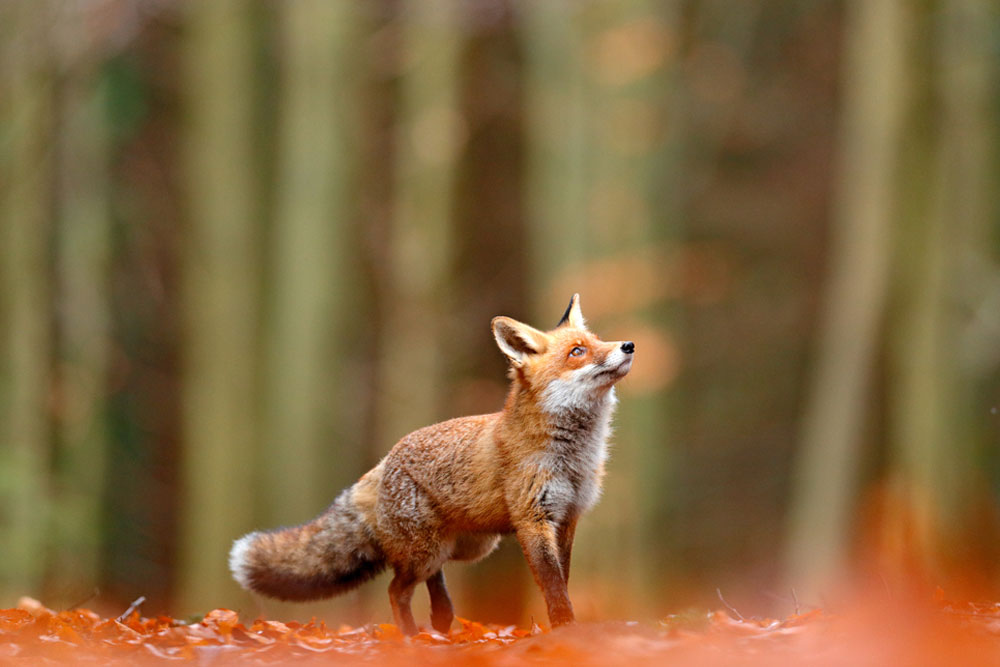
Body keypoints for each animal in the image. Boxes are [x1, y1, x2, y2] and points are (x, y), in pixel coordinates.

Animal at [229, 294, 634, 635]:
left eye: (598, 341)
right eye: (577, 352)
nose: (628, 345)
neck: (573, 456)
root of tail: (384, 461)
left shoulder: (567, 517)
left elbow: (562, 580)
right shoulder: (533, 519)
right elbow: (552, 587)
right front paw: (565, 630)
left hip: (464, 547)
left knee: (434, 587)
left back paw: (440, 626)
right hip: (427, 551)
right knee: (396, 590)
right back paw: (410, 638)